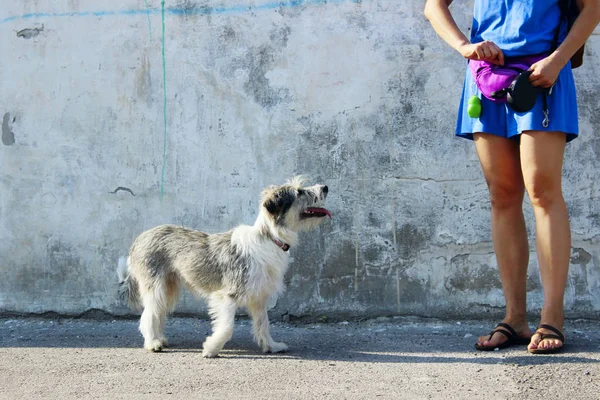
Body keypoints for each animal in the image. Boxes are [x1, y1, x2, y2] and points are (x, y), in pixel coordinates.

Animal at [117, 177, 330, 358]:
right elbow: (227, 327)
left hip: (169, 289)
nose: (325, 187)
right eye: (299, 192)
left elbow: (263, 324)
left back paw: (160, 339)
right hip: (156, 287)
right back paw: (153, 342)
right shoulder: (227, 296)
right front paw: (211, 348)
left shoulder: (259, 298)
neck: (270, 238)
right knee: (148, 315)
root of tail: (141, 237)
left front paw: (271, 346)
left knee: (158, 313)